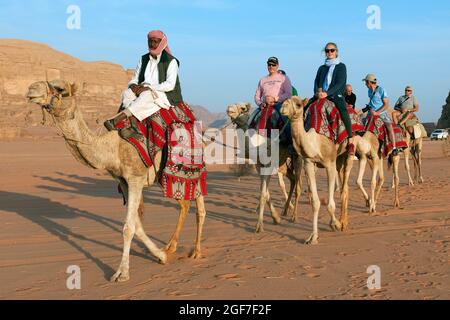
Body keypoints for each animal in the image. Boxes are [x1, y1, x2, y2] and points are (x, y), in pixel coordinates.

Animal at [29, 80, 208, 282]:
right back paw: (170, 247)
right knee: (184, 205)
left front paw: (122, 273)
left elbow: (128, 227)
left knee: (200, 208)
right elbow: (137, 225)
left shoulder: (135, 178)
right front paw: (161, 256)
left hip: (193, 169)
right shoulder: (124, 181)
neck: (112, 147)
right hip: (165, 177)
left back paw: (196, 252)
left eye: (60, 89)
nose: (31, 89)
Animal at [225, 102, 302, 230]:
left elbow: (264, 193)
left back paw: (294, 216)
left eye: (243, 108)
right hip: (283, 164)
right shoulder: (259, 166)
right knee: (292, 179)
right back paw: (285, 210)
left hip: (297, 158)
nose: (229, 109)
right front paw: (276, 218)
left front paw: (259, 225)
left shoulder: (268, 166)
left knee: (298, 184)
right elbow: (265, 191)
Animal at [280, 96, 354, 244]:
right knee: (345, 187)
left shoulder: (329, 163)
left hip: (347, 154)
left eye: (298, 104)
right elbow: (315, 202)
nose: (283, 107)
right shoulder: (309, 163)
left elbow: (330, 204)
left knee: (344, 188)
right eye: (286, 101)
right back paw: (344, 221)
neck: (315, 143)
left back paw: (343, 222)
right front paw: (313, 237)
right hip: (338, 161)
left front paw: (336, 224)